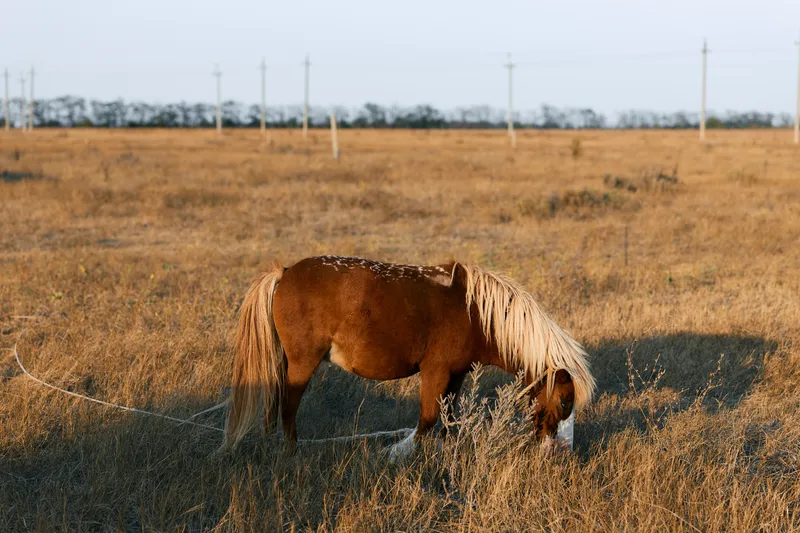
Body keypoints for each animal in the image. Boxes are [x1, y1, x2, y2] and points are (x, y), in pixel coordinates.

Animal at [222, 255, 595, 461]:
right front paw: (396, 453)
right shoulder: (436, 371)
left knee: (274, 404)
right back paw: (290, 453)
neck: (474, 312)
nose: (562, 452)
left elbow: (448, 420)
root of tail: (284, 272)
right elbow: (427, 419)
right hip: (302, 363)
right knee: (287, 407)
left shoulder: (456, 375)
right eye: (565, 402)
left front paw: (444, 455)